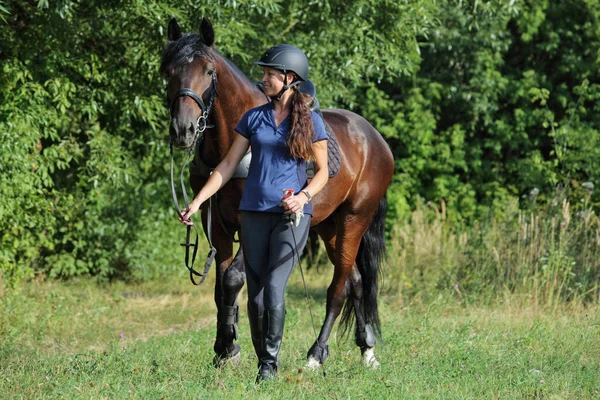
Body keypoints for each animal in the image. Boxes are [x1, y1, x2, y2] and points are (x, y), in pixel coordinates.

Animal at [162, 18, 396, 368]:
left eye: (208, 71)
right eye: (169, 70)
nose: (182, 130)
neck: (231, 146)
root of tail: (376, 140)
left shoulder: (250, 222)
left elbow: (233, 280)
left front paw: (230, 347)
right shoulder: (215, 224)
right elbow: (220, 287)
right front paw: (225, 348)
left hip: (355, 220)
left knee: (338, 288)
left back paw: (316, 354)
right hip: (328, 226)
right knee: (355, 281)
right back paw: (366, 349)